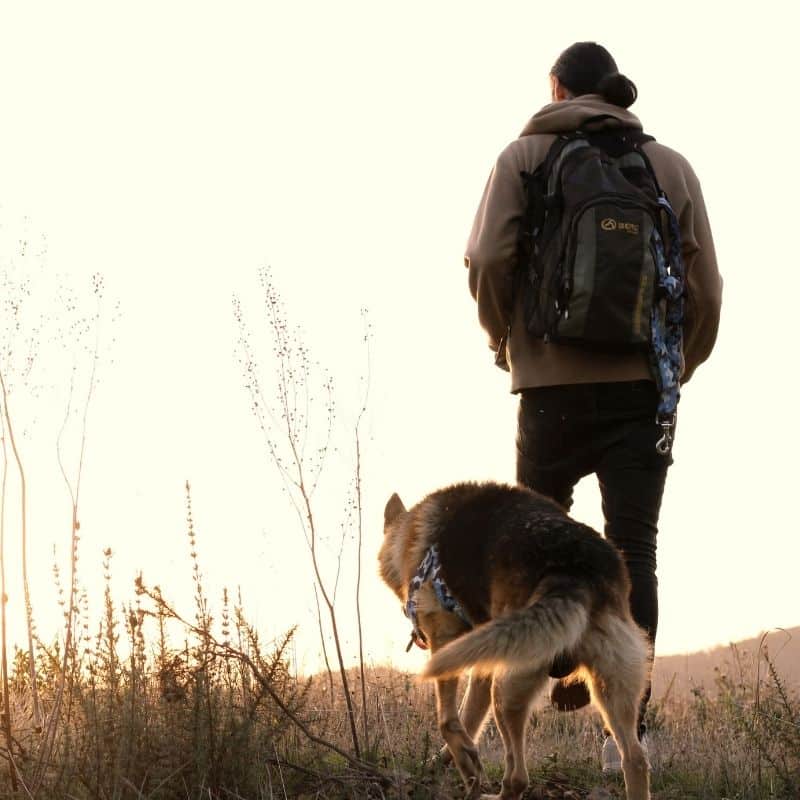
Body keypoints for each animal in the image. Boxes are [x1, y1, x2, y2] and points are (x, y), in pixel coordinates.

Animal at [380, 482, 648, 800]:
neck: (410, 535)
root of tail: (573, 571)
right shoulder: (482, 663)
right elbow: (468, 721)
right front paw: (458, 764)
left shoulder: (445, 642)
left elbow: (448, 720)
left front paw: (464, 766)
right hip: (612, 685)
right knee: (634, 759)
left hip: (507, 688)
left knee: (518, 778)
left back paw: (490, 795)